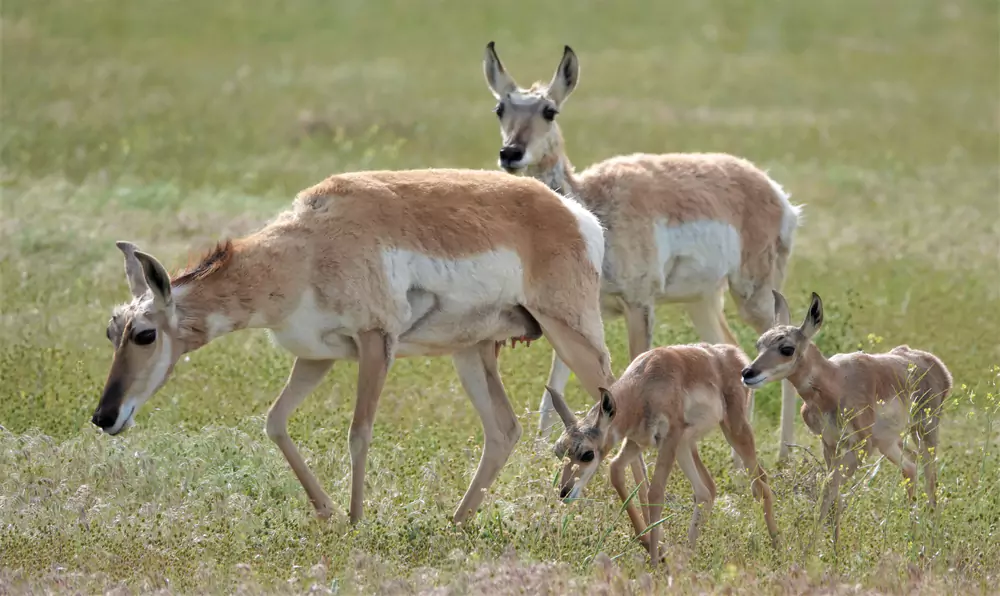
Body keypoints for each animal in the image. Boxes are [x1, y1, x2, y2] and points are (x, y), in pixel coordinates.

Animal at [90, 168, 616, 520]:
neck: (306, 247)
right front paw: (325, 510)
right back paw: (458, 522)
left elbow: (358, 432)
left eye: (145, 333)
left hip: (571, 335)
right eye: (112, 330)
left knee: (613, 400)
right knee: (504, 430)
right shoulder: (315, 358)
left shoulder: (375, 344)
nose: (103, 417)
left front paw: (356, 518)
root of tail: (572, 213)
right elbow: (275, 422)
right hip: (471, 352)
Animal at [484, 44, 804, 460]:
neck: (594, 206)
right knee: (732, 350)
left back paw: (783, 454)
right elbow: (552, 388)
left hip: (753, 294)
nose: (511, 153)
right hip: (702, 301)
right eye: (500, 108)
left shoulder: (639, 305)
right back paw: (736, 455)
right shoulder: (573, 316)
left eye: (549, 110)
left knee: (783, 342)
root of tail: (775, 192)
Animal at [552, 344, 776, 564]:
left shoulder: (668, 440)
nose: (564, 493)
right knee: (706, 491)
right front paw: (651, 546)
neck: (644, 383)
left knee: (761, 483)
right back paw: (686, 556)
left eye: (587, 454)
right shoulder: (636, 442)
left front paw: (654, 562)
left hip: (733, 431)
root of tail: (731, 353)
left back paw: (776, 547)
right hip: (686, 446)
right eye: (558, 451)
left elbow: (655, 492)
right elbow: (615, 469)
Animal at [744, 292, 952, 532]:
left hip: (924, 431)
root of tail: (934, 363)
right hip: (887, 442)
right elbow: (834, 495)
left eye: (787, 348)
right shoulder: (830, 445)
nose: (747, 373)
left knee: (930, 475)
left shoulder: (861, 447)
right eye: (759, 344)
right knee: (910, 467)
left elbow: (828, 488)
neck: (835, 381)